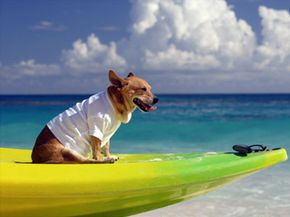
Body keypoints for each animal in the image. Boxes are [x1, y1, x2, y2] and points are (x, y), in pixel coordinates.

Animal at [31, 70, 159, 164]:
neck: (115, 103)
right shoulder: (97, 129)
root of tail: (34, 157)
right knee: (87, 161)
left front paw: (108, 155)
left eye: (150, 89)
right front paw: (104, 157)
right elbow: (97, 151)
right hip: (67, 151)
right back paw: (104, 161)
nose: (157, 99)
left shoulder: (106, 134)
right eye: (143, 89)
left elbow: (106, 147)